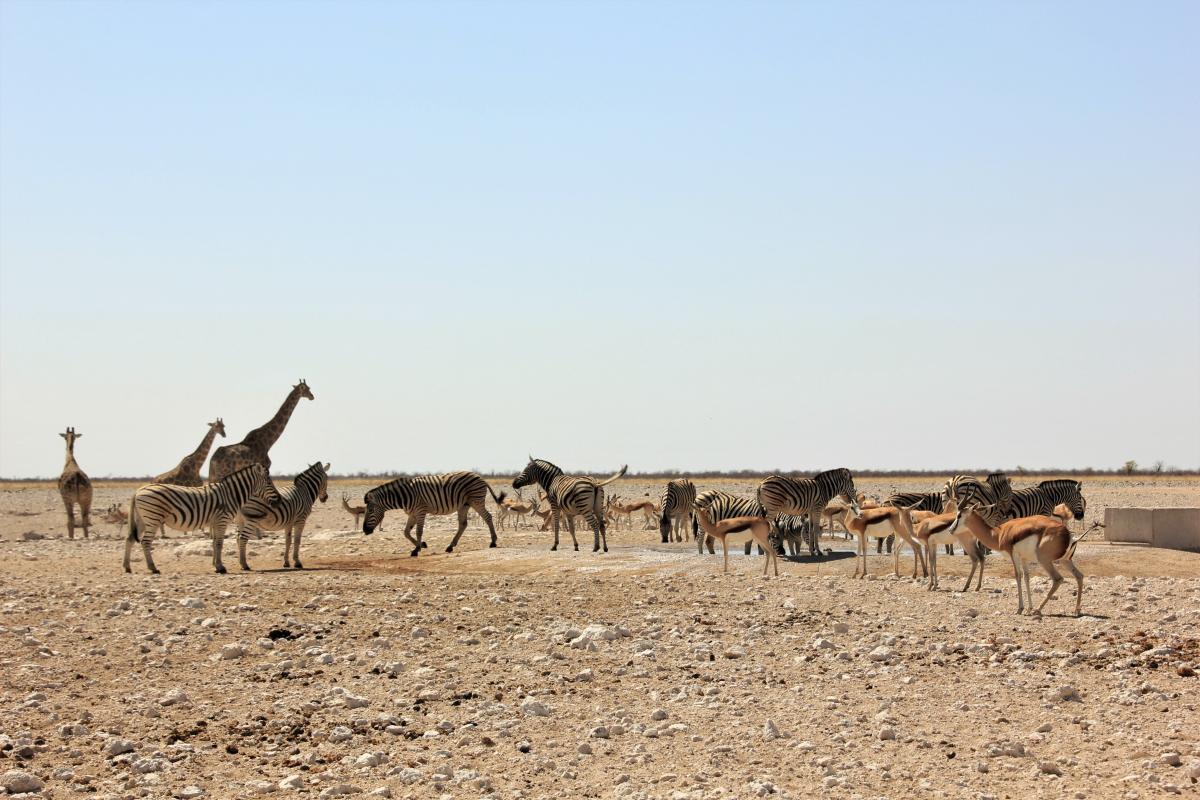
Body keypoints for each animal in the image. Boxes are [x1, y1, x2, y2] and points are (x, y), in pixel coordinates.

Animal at [124, 462, 280, 575]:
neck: (231, 495)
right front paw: (221, 567)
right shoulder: (222, 520)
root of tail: (138, 490)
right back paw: (153, 568)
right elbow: (219, 543)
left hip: (142, 520)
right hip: (153, 518)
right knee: (145, 542)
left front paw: (216, 566)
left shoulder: (216, 521)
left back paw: (127, 567)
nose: (277, 500)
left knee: (130, 539)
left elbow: (215, 543)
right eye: (269, 483)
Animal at [357, 470, 504, 556]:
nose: (365, 530)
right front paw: (421, 545)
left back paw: (493, 542)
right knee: (463, 524)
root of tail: (480, 477)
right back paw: (450, 546)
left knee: (488, 517)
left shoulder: (420, 511)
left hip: (476, 500)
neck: (403, 496)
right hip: (464, 505)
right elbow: (406, 532)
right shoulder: (412, 513)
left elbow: (418, 531)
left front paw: (416, 550)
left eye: (370, 511)